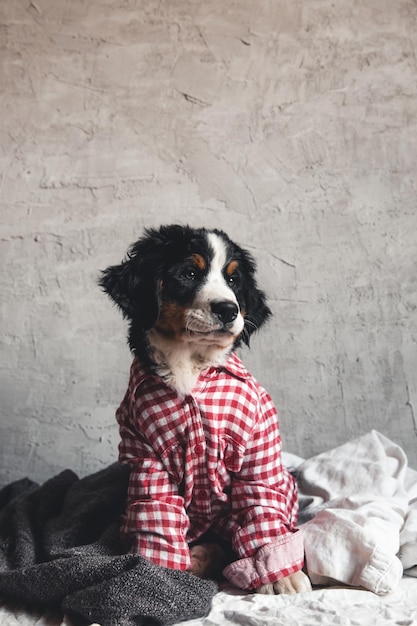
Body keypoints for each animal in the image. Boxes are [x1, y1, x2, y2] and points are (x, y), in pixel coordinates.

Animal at [100, 225, 308, 596]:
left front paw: (280, 576)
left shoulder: (257, 454)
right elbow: (157, 516)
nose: (228, 310)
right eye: (189, 274)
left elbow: (261, 510)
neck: (191, 365)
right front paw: (159, 577)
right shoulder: (146, 457)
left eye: (234, 280)